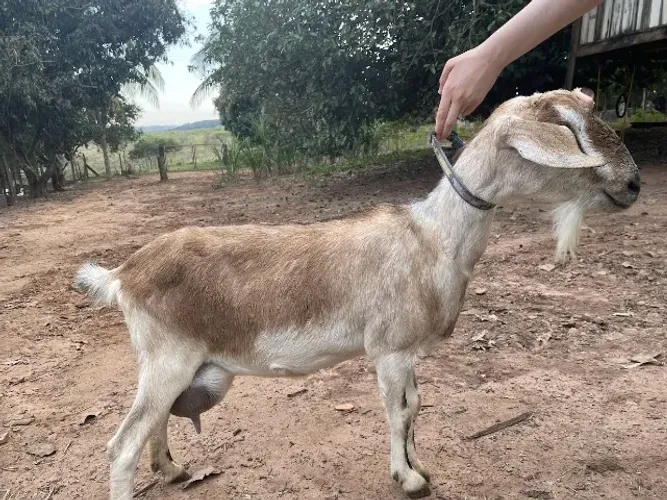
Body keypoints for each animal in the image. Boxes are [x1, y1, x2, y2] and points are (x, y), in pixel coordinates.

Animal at [76, 89, 640, 499]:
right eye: (572, 129)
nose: (634, 185)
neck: (433, 237)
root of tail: (123, 274)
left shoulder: (408, 353)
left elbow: (416, 407)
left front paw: (419, 465)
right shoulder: (388, 349)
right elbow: (398, 411)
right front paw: (408, 479)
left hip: (168, 365)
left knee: (152, 426)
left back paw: (172, 471)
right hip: (167, 358)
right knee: (120, 446)